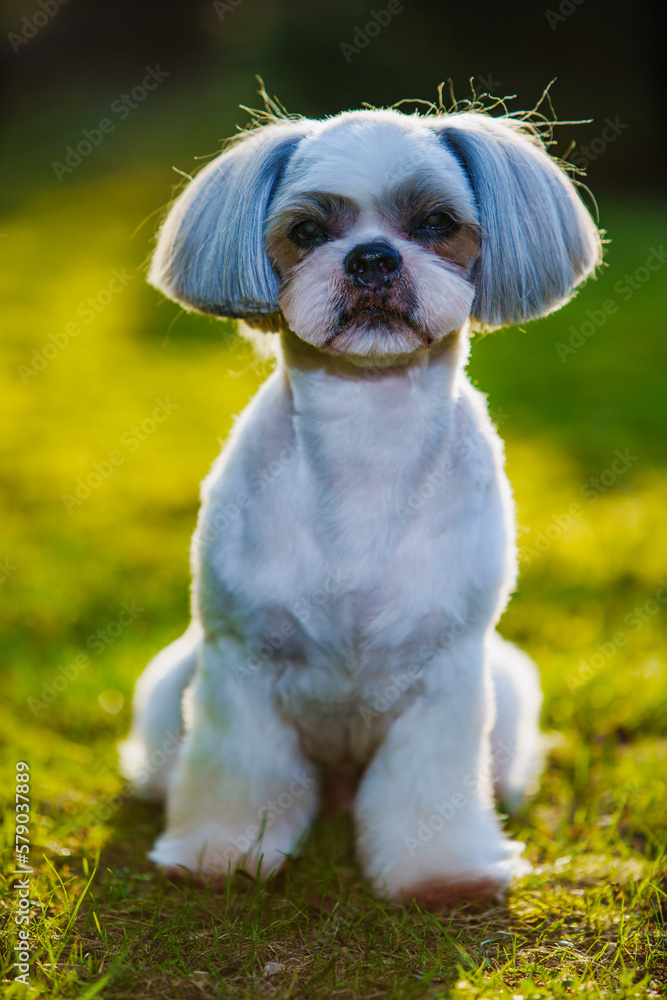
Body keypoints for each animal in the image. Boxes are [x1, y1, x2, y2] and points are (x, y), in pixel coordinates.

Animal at [120, 99, 604, 908]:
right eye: (307, 232)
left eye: (437, 222)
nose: (372, 258)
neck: (367, 439)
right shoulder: (239, 665)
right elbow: (238, 773)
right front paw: (220, 855)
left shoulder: (446, 675)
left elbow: (427, 789)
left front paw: (442, 875)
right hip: (169, 690)